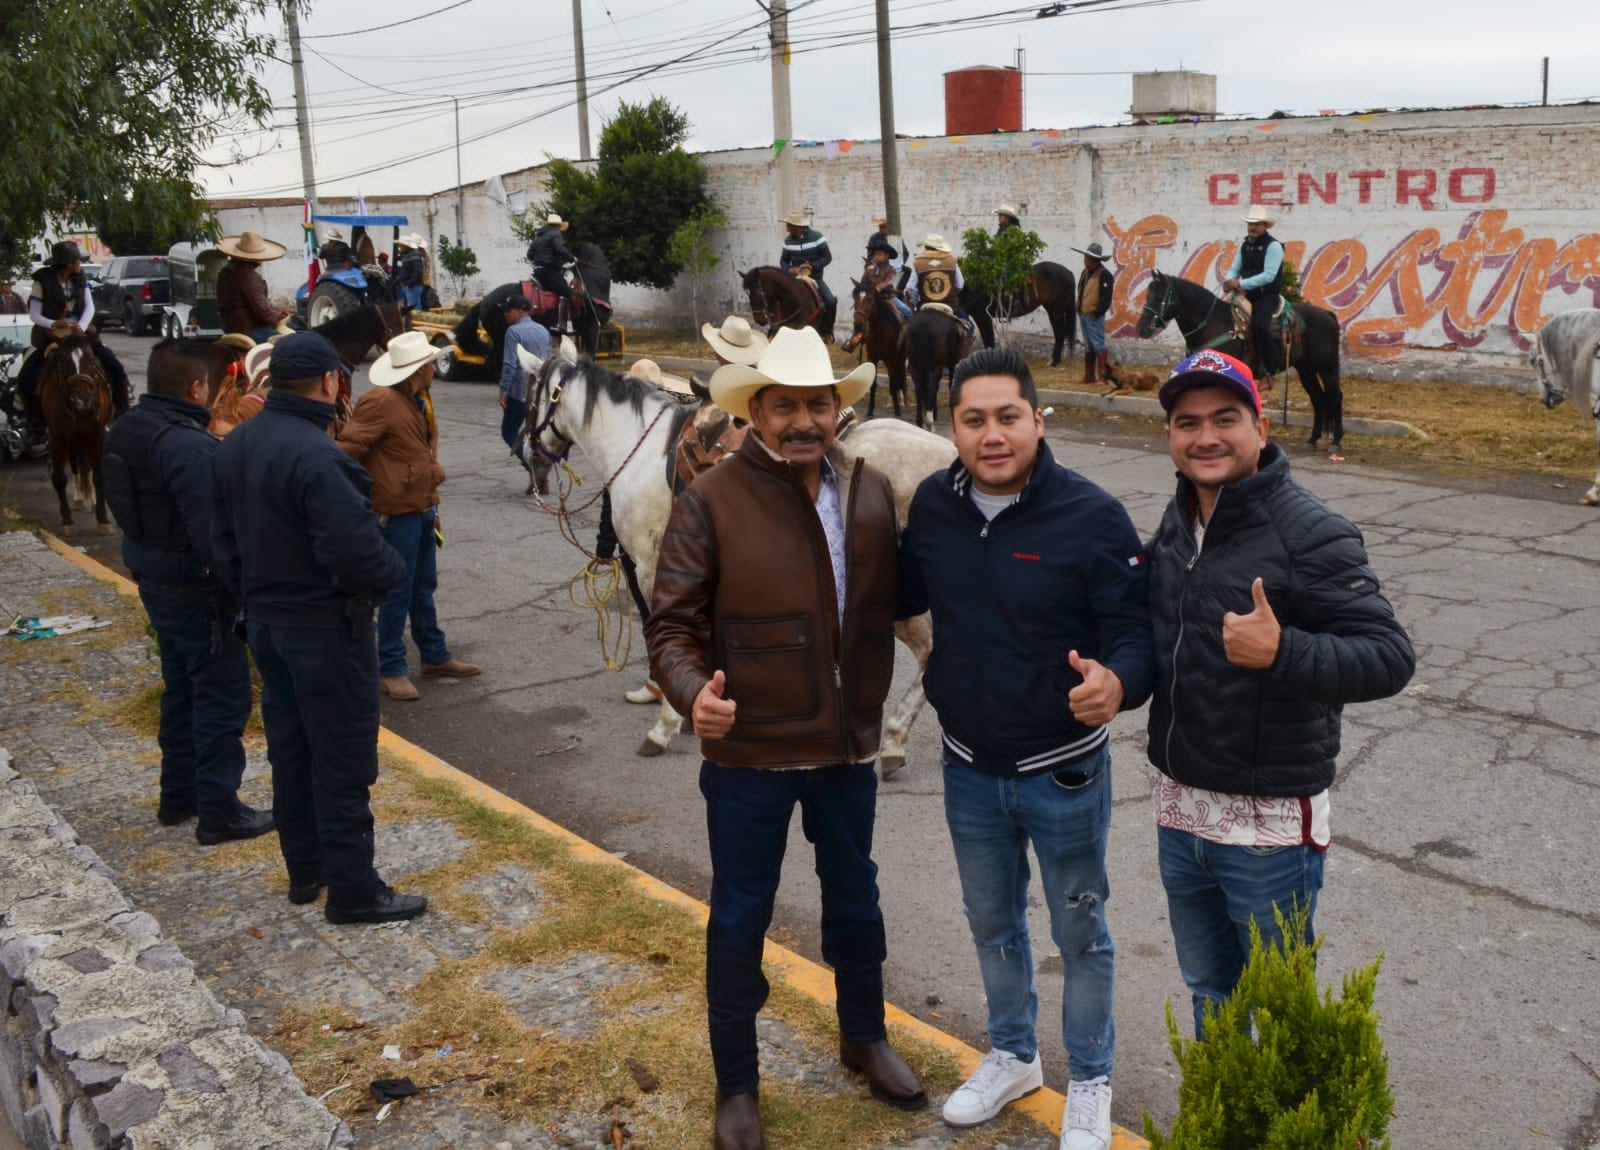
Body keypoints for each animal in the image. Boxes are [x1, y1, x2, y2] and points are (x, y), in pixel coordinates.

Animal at [37, 335, 114, 527]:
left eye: (91, 361)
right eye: (63, 362)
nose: (82, 401)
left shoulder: (96, 436)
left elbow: (98, 475)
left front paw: (103, 519)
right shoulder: (57, 439)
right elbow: (59, 478)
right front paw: (66, 519)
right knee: (75, 464)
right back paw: (79, 498)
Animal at [518, 339, 953, 774]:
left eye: (529, 397)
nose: (526, 450)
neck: (640, 450)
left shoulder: (651, 567)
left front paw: (667, 723)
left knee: (930, 649)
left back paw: (894, 737)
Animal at [844, 286, 908, 419]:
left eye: (869, 300)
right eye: (855, 298)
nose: (858, 324)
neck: (880, 329)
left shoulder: (891, 358)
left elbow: (893, 381)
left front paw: (897, 411)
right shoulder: (872, 357)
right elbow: (873, 383)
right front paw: (870, 411)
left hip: (900, 357)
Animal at [1132, 268, 1344, 451]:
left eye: (1160, 295)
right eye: (1147, 293)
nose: (1142, 329)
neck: (1213, 323)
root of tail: (1328, 314)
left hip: (1328, 367)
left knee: (1335, 396)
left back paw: (1336, 441)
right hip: (1305, 368)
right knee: (1318, 398)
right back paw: (1313, 439)